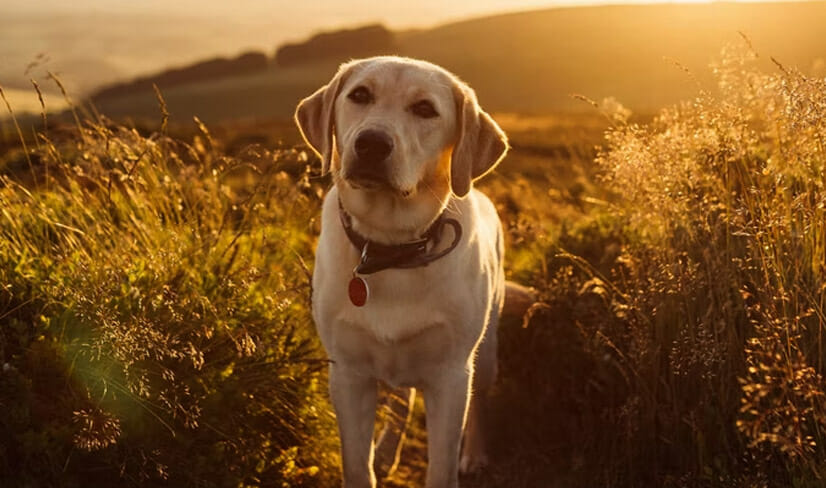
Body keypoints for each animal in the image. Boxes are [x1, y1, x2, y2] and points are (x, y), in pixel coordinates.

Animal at [292, 55, 506, 486]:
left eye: (425, 108)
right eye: (360, 95)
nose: (371, 143)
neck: (390, 247)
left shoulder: (451, 375)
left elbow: (441, 468)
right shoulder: (348, 373)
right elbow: (358, 466)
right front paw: (377, 458)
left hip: (486, 352)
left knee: (479, 403)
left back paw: (475, 454)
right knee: (401, 400)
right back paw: (389, 449)